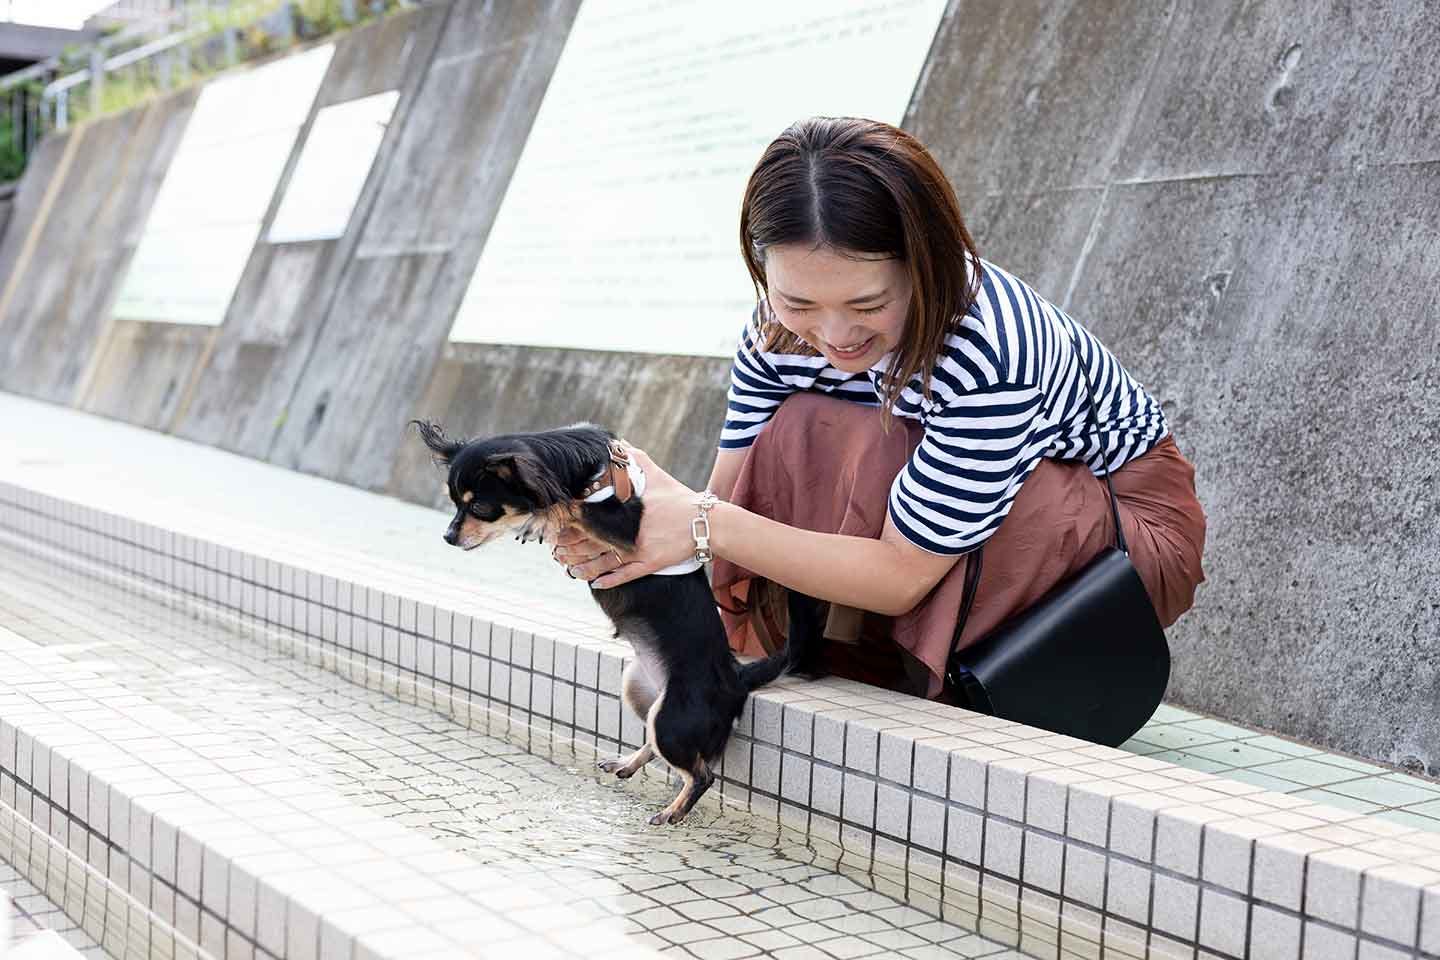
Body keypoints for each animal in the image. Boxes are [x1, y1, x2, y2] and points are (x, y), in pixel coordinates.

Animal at [414, 420, 812, 829]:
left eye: (479, 507)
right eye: (454, 503)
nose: (448, 536)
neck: (582, 471)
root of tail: (737, 677)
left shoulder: (630, 527)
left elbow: (571, 505)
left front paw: (543, 515)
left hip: (674, 719)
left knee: (702, 775)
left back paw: (672, 811)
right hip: (639, 690)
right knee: (658, 744)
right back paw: (628, 764)